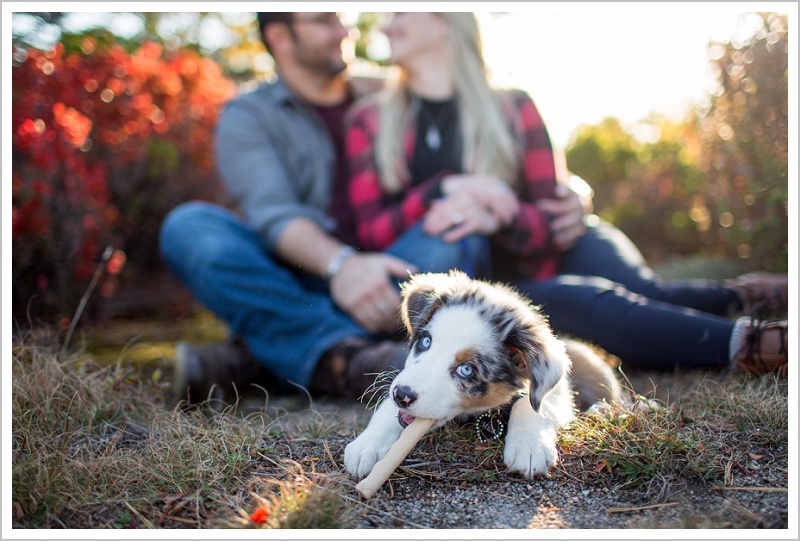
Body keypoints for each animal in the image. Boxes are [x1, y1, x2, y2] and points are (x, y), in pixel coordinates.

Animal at [344, 272, 620, 478]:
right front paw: (367, 445)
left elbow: (532, 403)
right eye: (425, 341)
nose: (402, 395)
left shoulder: (559, 392)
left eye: (466, 370)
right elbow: (389, 411)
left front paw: (530, 446)